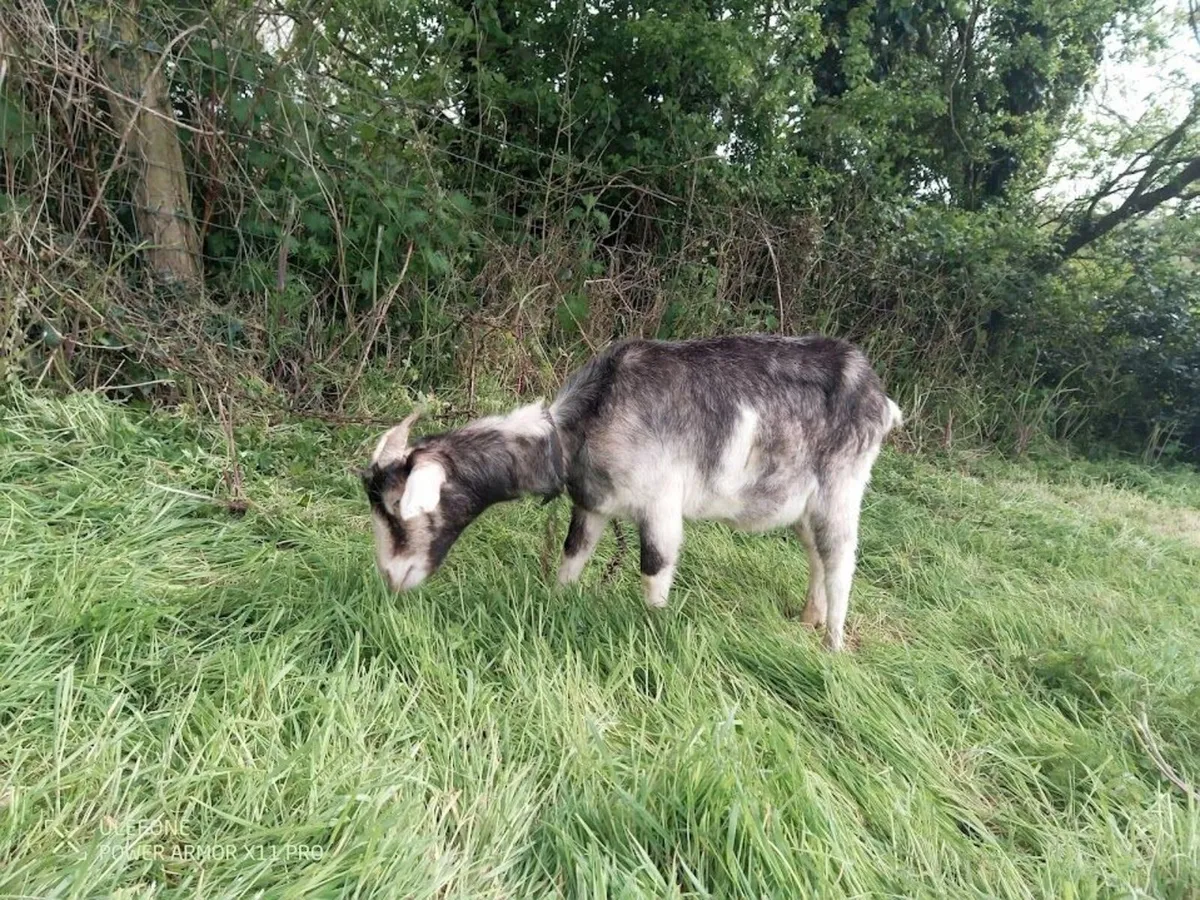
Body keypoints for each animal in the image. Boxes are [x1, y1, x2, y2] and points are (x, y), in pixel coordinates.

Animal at [360, 334, 902, 650]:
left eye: (399, 509)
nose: (388, 578)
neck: (584, 423)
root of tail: (881, 399)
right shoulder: (594, 503)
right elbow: (573, 554)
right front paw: (556, 600)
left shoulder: (660, 504)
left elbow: (654, 567)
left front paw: (655, 630)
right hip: (805, 502)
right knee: (816, 554)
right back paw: (810, 618)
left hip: (842, 486)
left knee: (841, 558)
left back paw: (832, 643)